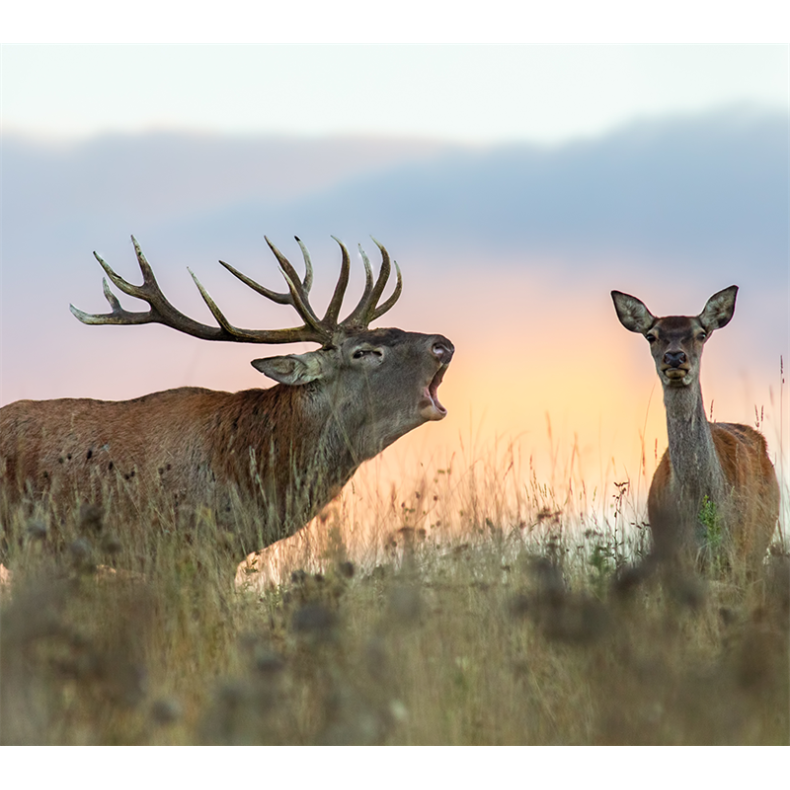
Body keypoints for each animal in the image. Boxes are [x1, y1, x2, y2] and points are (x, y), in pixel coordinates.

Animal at [612, 288, 780, 572]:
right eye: (651, 335)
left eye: (701, 334)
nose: (675, 357)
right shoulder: (672, 554)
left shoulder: (738, 550)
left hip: (758, 546)